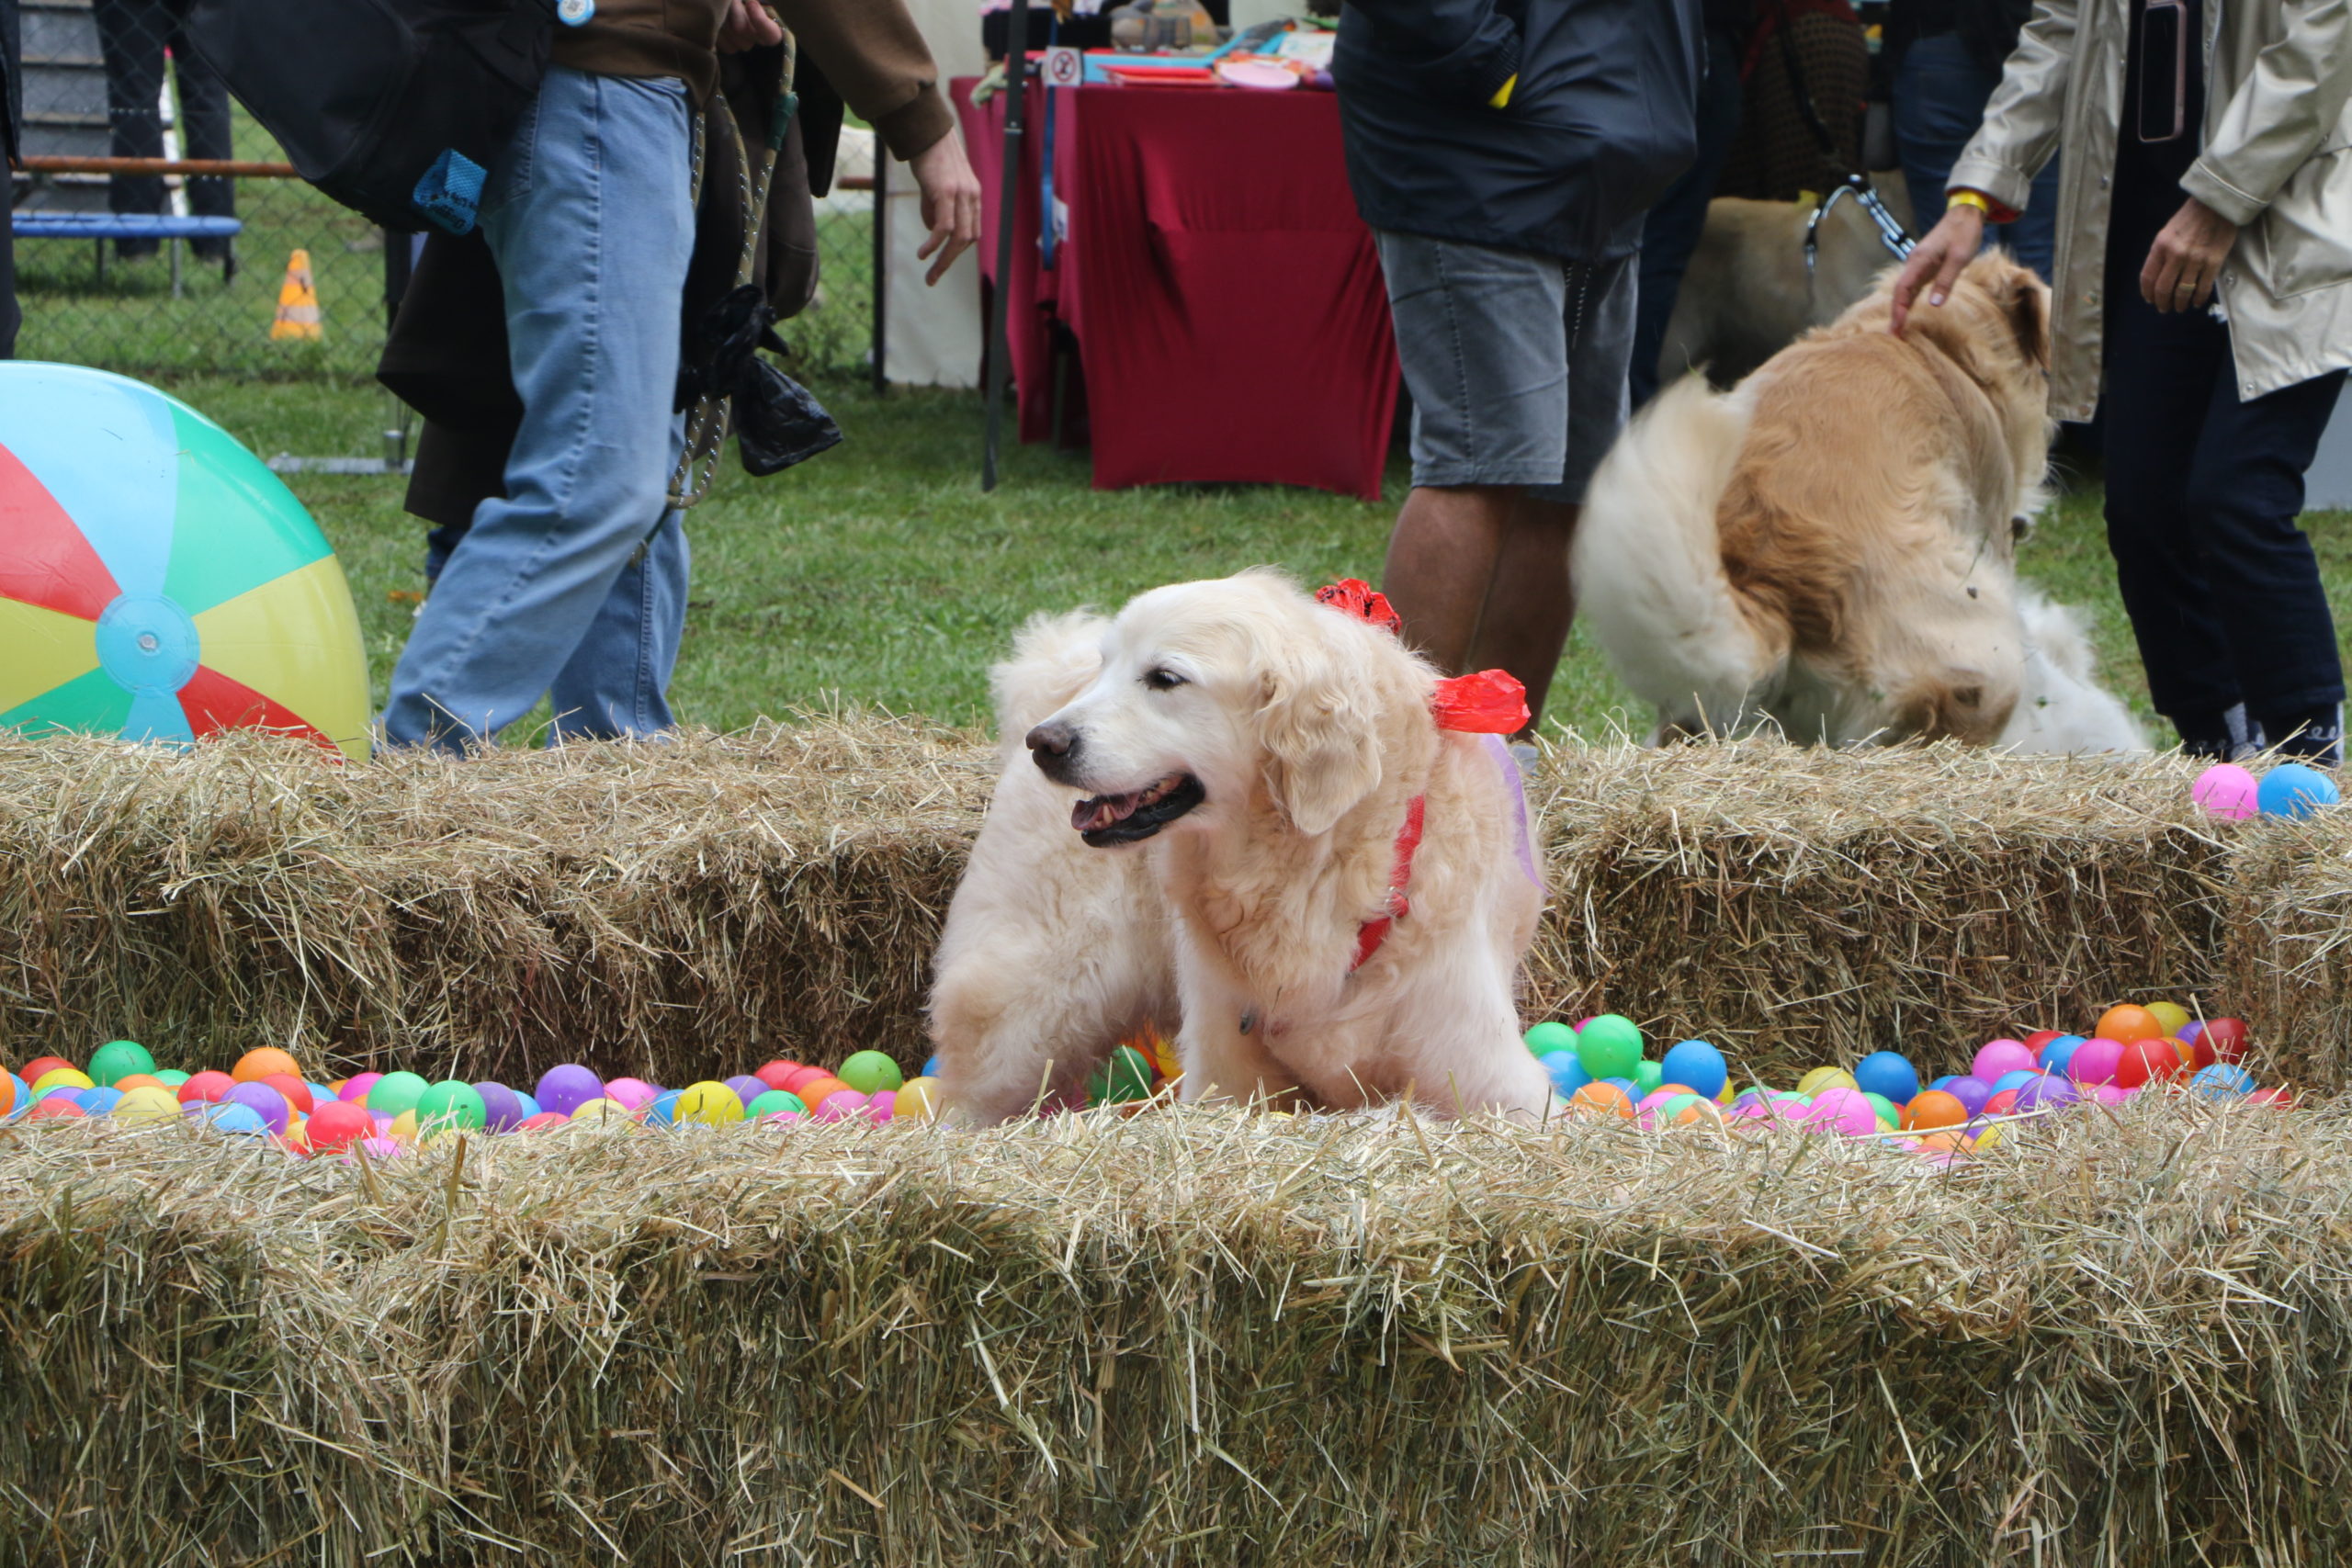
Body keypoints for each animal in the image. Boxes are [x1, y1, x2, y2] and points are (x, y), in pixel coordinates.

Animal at [928, 571, 1554, 1125]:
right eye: (1110, 667)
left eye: (1164, 678)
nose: (1045, 743)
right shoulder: (1226, 1077)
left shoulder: (1495, 1082)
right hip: (1026, 1010)